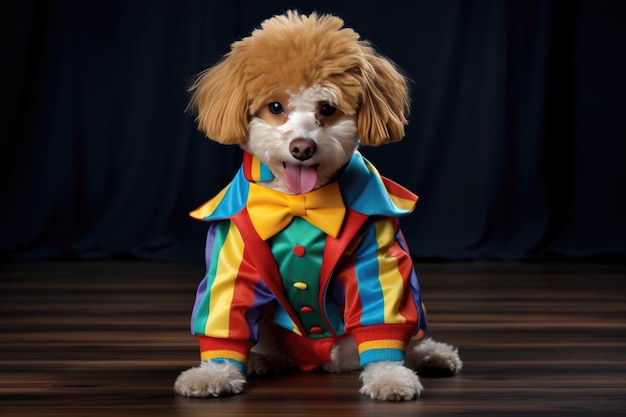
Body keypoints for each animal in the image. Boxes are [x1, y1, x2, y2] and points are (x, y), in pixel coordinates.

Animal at [173, 9, 460, 400]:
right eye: (275, 107)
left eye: (327, 108)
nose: (302, 148)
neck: (299, 203)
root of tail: (328, 363)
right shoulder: (232, 254)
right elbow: (226, 310)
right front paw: (213, 372)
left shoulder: (377, 252)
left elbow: (382, 311)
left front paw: (389, 376)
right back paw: (266, 359)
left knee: (412, 336)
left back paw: (431, 355)